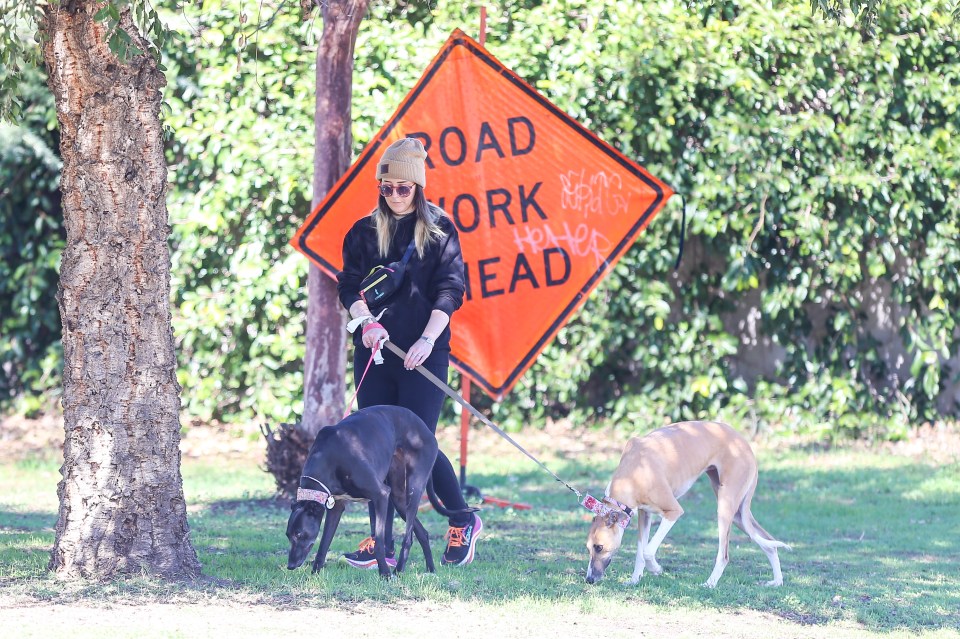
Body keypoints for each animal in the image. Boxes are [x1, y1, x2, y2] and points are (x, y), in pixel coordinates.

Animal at [284, 404, 470, 580]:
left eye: (299, 534)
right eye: (288, 535)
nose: (290, 566)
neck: (327, 457)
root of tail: (426, 429)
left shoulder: (381, 495)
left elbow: (380, 541)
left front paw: (385, 574)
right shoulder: (336, 506)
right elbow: (324, 543)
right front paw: (315, 574)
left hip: (414, 488)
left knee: (408, 537)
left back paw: (398, 570)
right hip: (398, 497)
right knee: (422, 533)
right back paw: (430, 569)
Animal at [584, 422, 788, 588]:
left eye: (599, 547)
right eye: (588, 548)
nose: (589, 579)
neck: (633, 472)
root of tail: (744, 443)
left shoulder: (673, 512)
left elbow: (648, 551)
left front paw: (656, 569)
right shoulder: (644, 514)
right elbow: (640, 552)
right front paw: (635, 580)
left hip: (725, 507)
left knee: (724, 555)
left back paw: (710, 583)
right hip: (738, 514)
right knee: (769, 544)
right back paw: (777, 581)